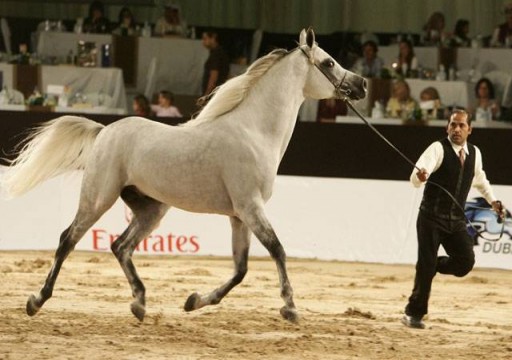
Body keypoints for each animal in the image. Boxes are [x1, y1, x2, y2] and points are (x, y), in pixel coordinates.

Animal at [2, 26, 366, 322]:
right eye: (329, 62)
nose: (361, 85)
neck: (254, 132)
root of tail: (105, 131)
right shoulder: (251, 206)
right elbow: (277, 250)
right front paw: (289, 308)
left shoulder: (239, 215)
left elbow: (241, 269)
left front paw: (194, 301)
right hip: (98, 198)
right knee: (68, 239)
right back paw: (37, 300)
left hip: (151, 209)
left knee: (120, 246)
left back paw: (139, 304)